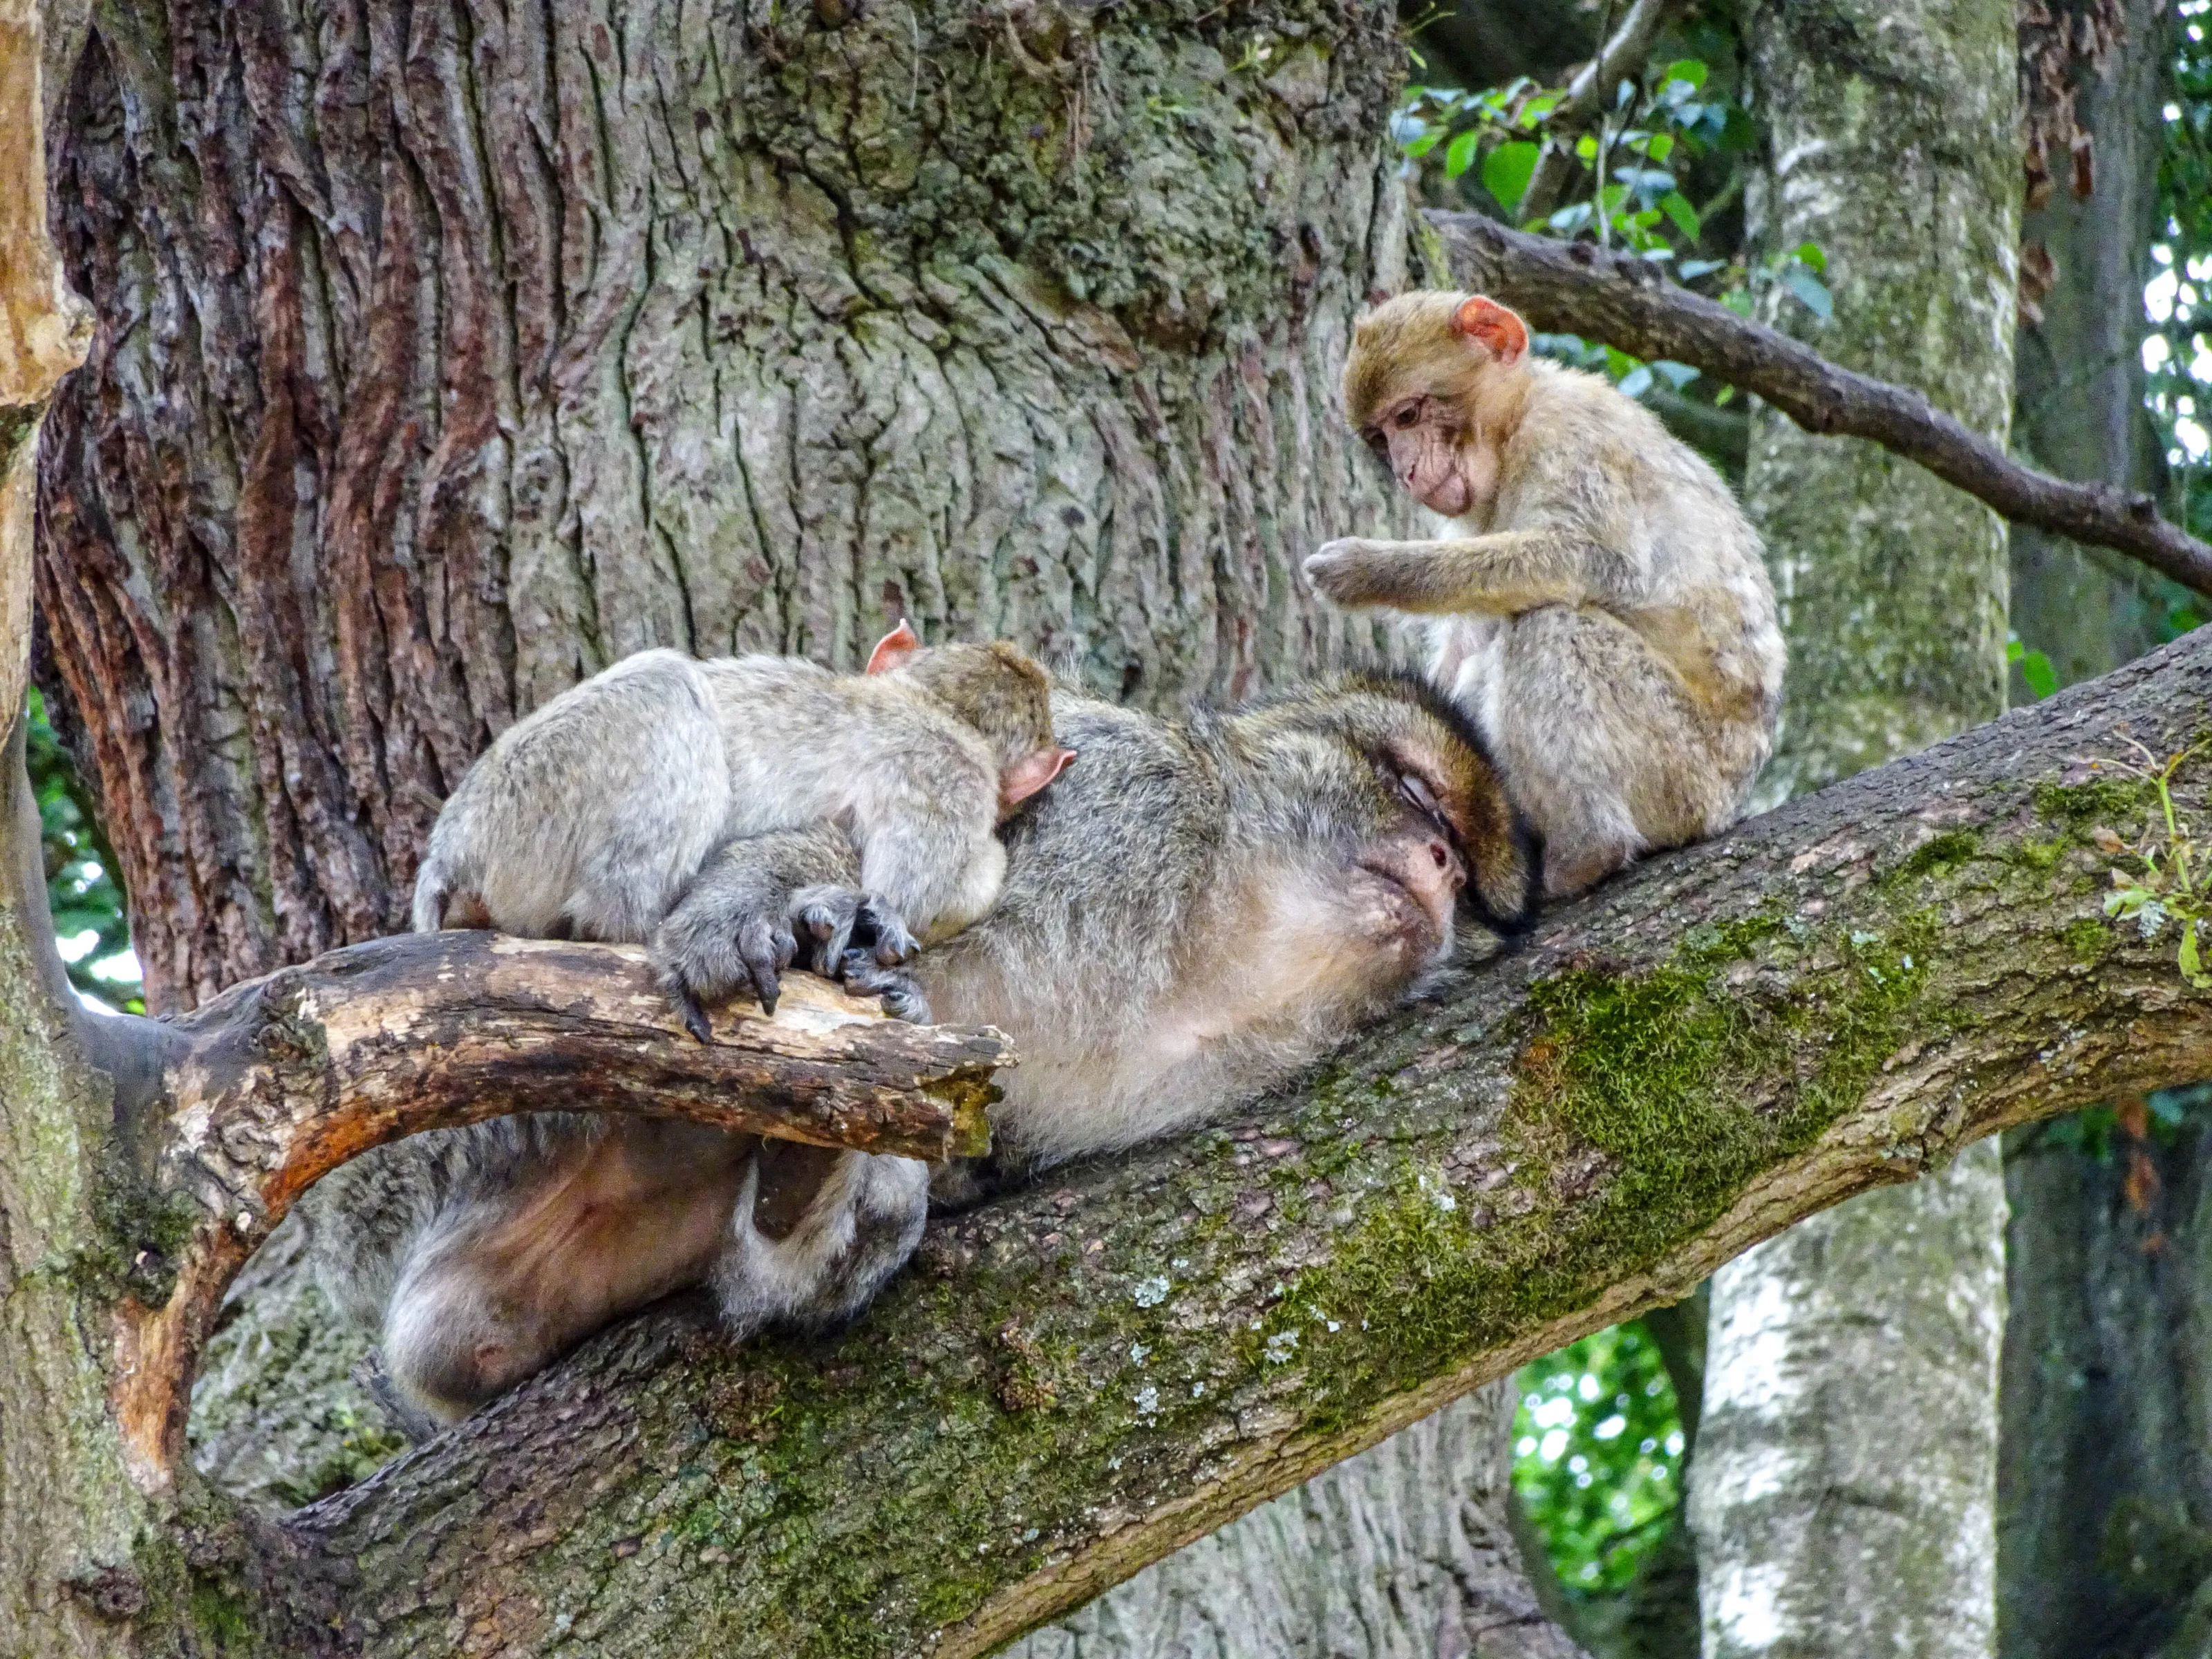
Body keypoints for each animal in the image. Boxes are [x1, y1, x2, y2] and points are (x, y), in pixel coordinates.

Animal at [305, 672, 1540, 1428]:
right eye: (1410, 788)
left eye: (1467, 872)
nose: (1439, 862)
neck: (1217, 927)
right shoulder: (1117, 798)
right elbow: (854, 836)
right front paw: (759, 914)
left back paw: (809, 1189)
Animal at [409, 622, 1076, 1029]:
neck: (939, 706)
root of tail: (452, 849)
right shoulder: (951, 775)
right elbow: (927, 893)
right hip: (526, 807)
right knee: (666, 686)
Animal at [1304, 290, 1785, 898]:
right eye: (1380, 438)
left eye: (1408, 415)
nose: (1407, 471)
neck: (1513, 429)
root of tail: (1732, 802)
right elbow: (1470, 638)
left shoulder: (1570, 434)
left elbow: (1598, 562)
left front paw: (1371, 570)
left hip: (1686, 777)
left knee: (1551, 622)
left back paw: (1589, 852)